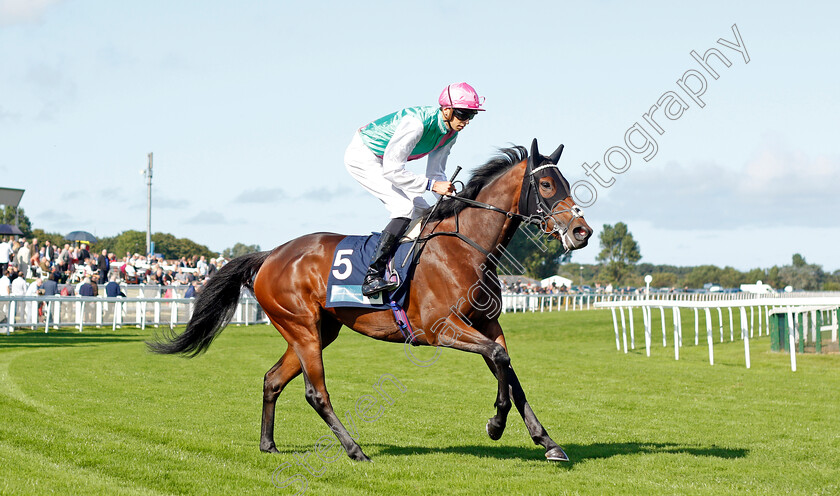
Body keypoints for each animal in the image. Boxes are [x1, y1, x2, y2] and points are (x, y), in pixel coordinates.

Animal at [153, 139, 596, 462]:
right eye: (546, 185)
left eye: (565, 183)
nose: (582, 231)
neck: (467, 247)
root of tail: (270, 255)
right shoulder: (441, 330)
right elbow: (501, 361)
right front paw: (495, 425)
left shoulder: (487, 324)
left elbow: (510, 371)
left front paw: (548, 442)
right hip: (301, 328)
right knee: (316, 393)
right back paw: (354, 450)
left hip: (317, 331)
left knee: (272, 379)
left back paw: (269, 444)